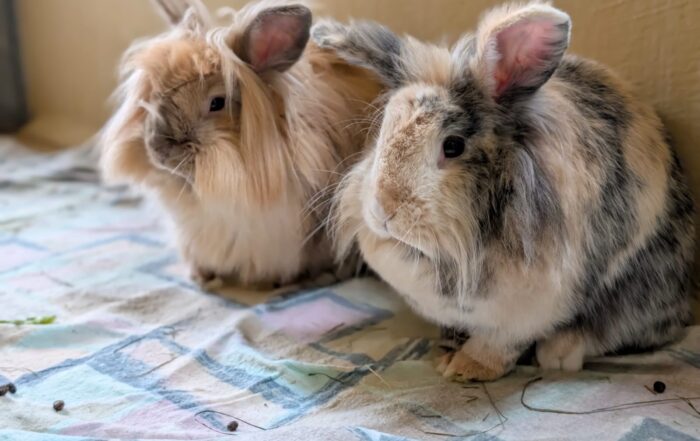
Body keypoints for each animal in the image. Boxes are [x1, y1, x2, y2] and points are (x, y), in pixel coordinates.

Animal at [315, 1, 696, 381]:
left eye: (453, 146)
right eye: (382, 131)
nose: (382, 210)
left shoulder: (528, 309)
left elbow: (498, 345)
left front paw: (466, 368)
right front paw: (446, 353)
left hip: (640, 291)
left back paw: (560, 353)